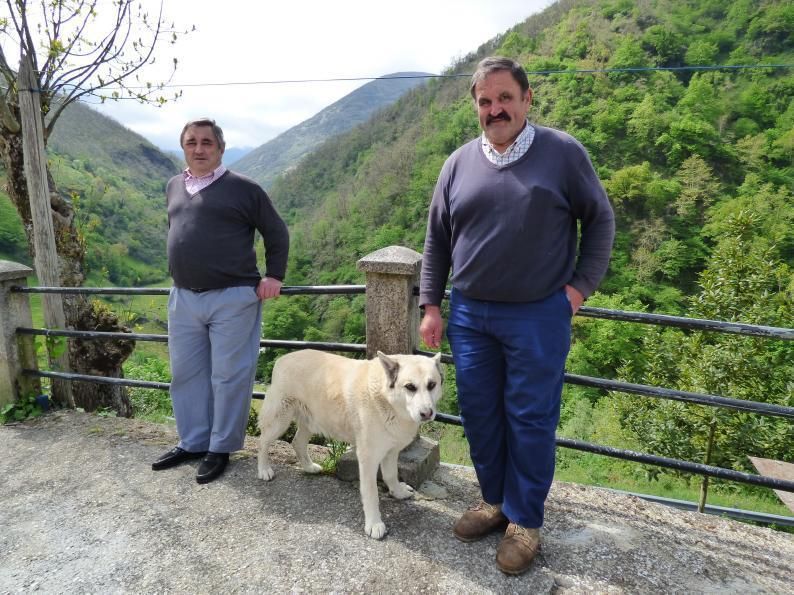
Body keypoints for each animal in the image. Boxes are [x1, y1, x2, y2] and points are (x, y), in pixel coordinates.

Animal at [256, 350, 442, 540]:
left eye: (432, 385)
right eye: (410, 387)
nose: (427, 413)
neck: (386, 399)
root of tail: (284, 358)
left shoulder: (391, 451)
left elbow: (391, 475)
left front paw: (398, 492)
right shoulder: (368, 458)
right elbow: (371, 492)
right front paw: (374, 523)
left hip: (311, 421)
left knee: (297, 442)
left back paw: (308, 467)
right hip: (279, 420)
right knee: (263, 442)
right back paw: (264, 470)